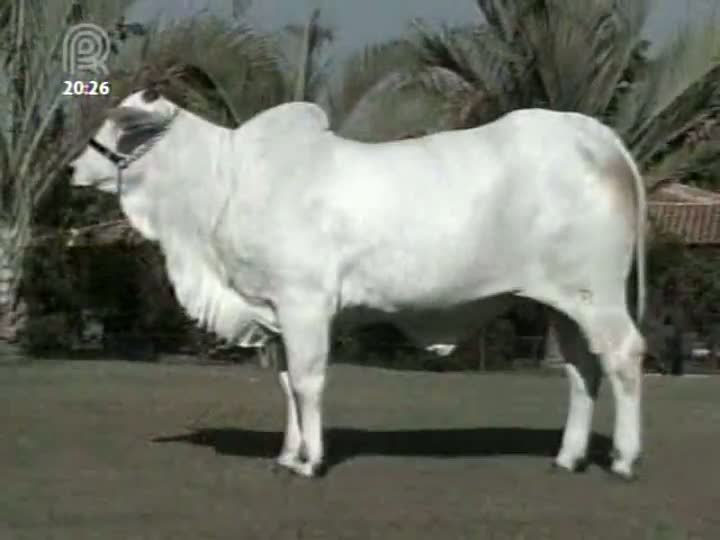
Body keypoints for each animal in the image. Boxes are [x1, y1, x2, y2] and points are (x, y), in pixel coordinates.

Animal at [70, 86, 648, 478]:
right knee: (580, 369)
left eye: (120, 126)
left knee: (623, 355)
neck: (223, 183)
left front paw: (310, 462)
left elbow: (308, 382)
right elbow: (286, 383)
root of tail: (598, 137)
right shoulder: (276, 313)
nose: (74, 169)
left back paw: (623, 458)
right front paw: (288, 454)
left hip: (599, 295)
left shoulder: (304, 305)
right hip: (564, 303)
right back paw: (569, 456)